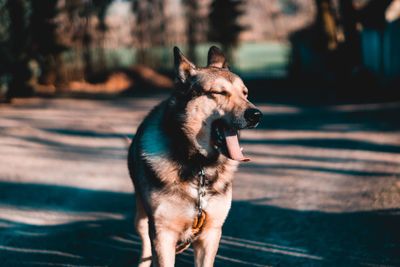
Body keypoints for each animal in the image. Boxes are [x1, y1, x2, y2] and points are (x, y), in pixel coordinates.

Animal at [128, 47, 264, 266]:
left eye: (245, 93)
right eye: (219, 93)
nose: (256, 115)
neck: (199, 165)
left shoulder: (210, 233)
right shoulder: (162, 234)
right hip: (141, 220)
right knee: (145, 250)